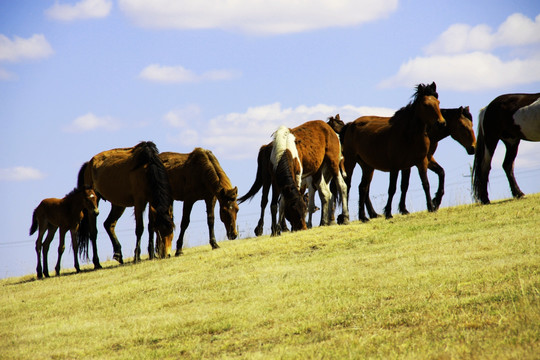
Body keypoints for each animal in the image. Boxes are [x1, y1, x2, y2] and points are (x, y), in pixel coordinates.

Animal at [340, 82, 446, 221]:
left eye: (438, 102)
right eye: (425, 104)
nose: (441, 123)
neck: (408, 135)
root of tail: (351, 124)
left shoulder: (417, 163)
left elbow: (420, 184)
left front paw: (428, 207)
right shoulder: (395, 166)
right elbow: (392, 188)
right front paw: (388, 213)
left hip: (367, 166)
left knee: (362, 187)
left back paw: (363, 217)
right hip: (350, 161)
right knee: (348, 185)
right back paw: (345, 217)